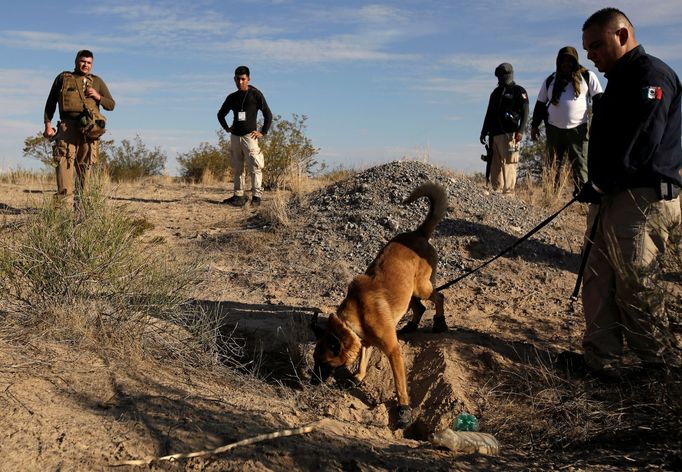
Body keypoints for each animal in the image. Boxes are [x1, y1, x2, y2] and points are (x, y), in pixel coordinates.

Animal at [308, 182, 446, 428]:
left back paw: (440, 322)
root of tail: (418, 233)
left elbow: (400, 384)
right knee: (420, 307)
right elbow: (363, 358)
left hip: (421, 287)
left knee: (439, 297)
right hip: (408, 291)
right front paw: (358, 377)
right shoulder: (365, 339)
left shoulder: (393, 351)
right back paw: (412, 325)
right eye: (314, 360)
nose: (311, 382)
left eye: (323, 362)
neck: (356, 312)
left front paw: (403, 410)